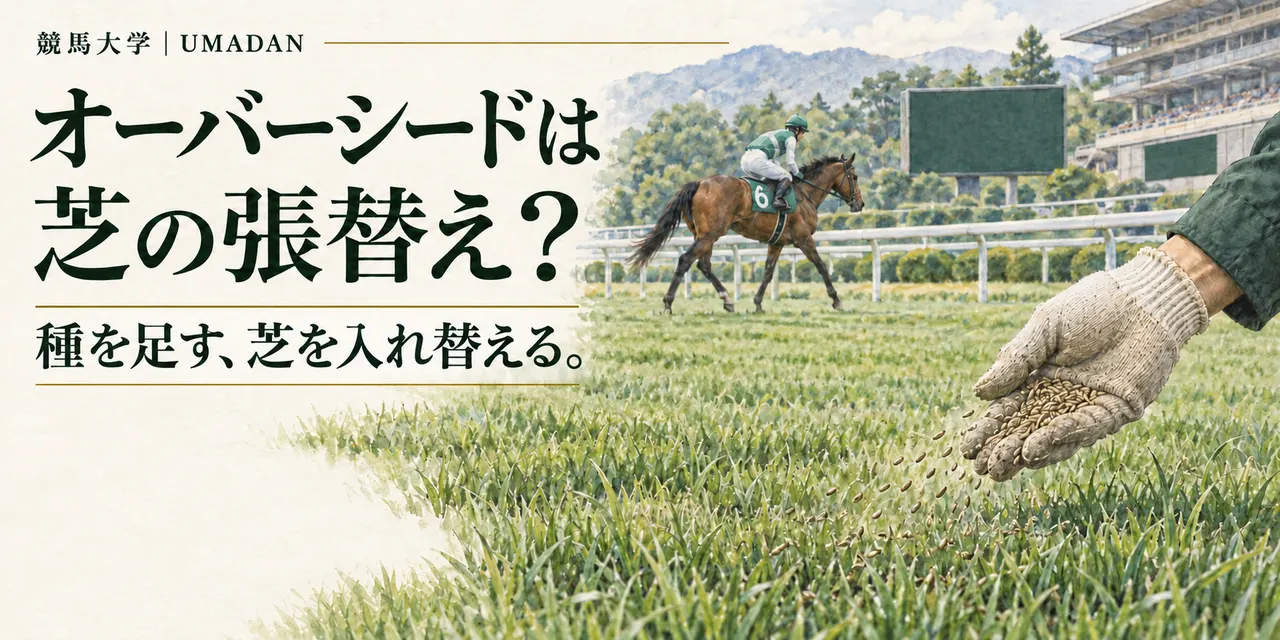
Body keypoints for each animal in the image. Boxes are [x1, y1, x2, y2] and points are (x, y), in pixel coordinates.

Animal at [625, 154, 864, 313]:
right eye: (854, 176)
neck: (805, 194)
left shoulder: (777, 243)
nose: (860, 204)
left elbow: (768, 272)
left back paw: (727, 300)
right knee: (685, 260)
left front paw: (758, 303)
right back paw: (668, 303)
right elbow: (821, 266)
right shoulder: (803, 239)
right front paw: (837, 300)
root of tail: (700, 183)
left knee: (704, 265)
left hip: (703, 234)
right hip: (710, 234)